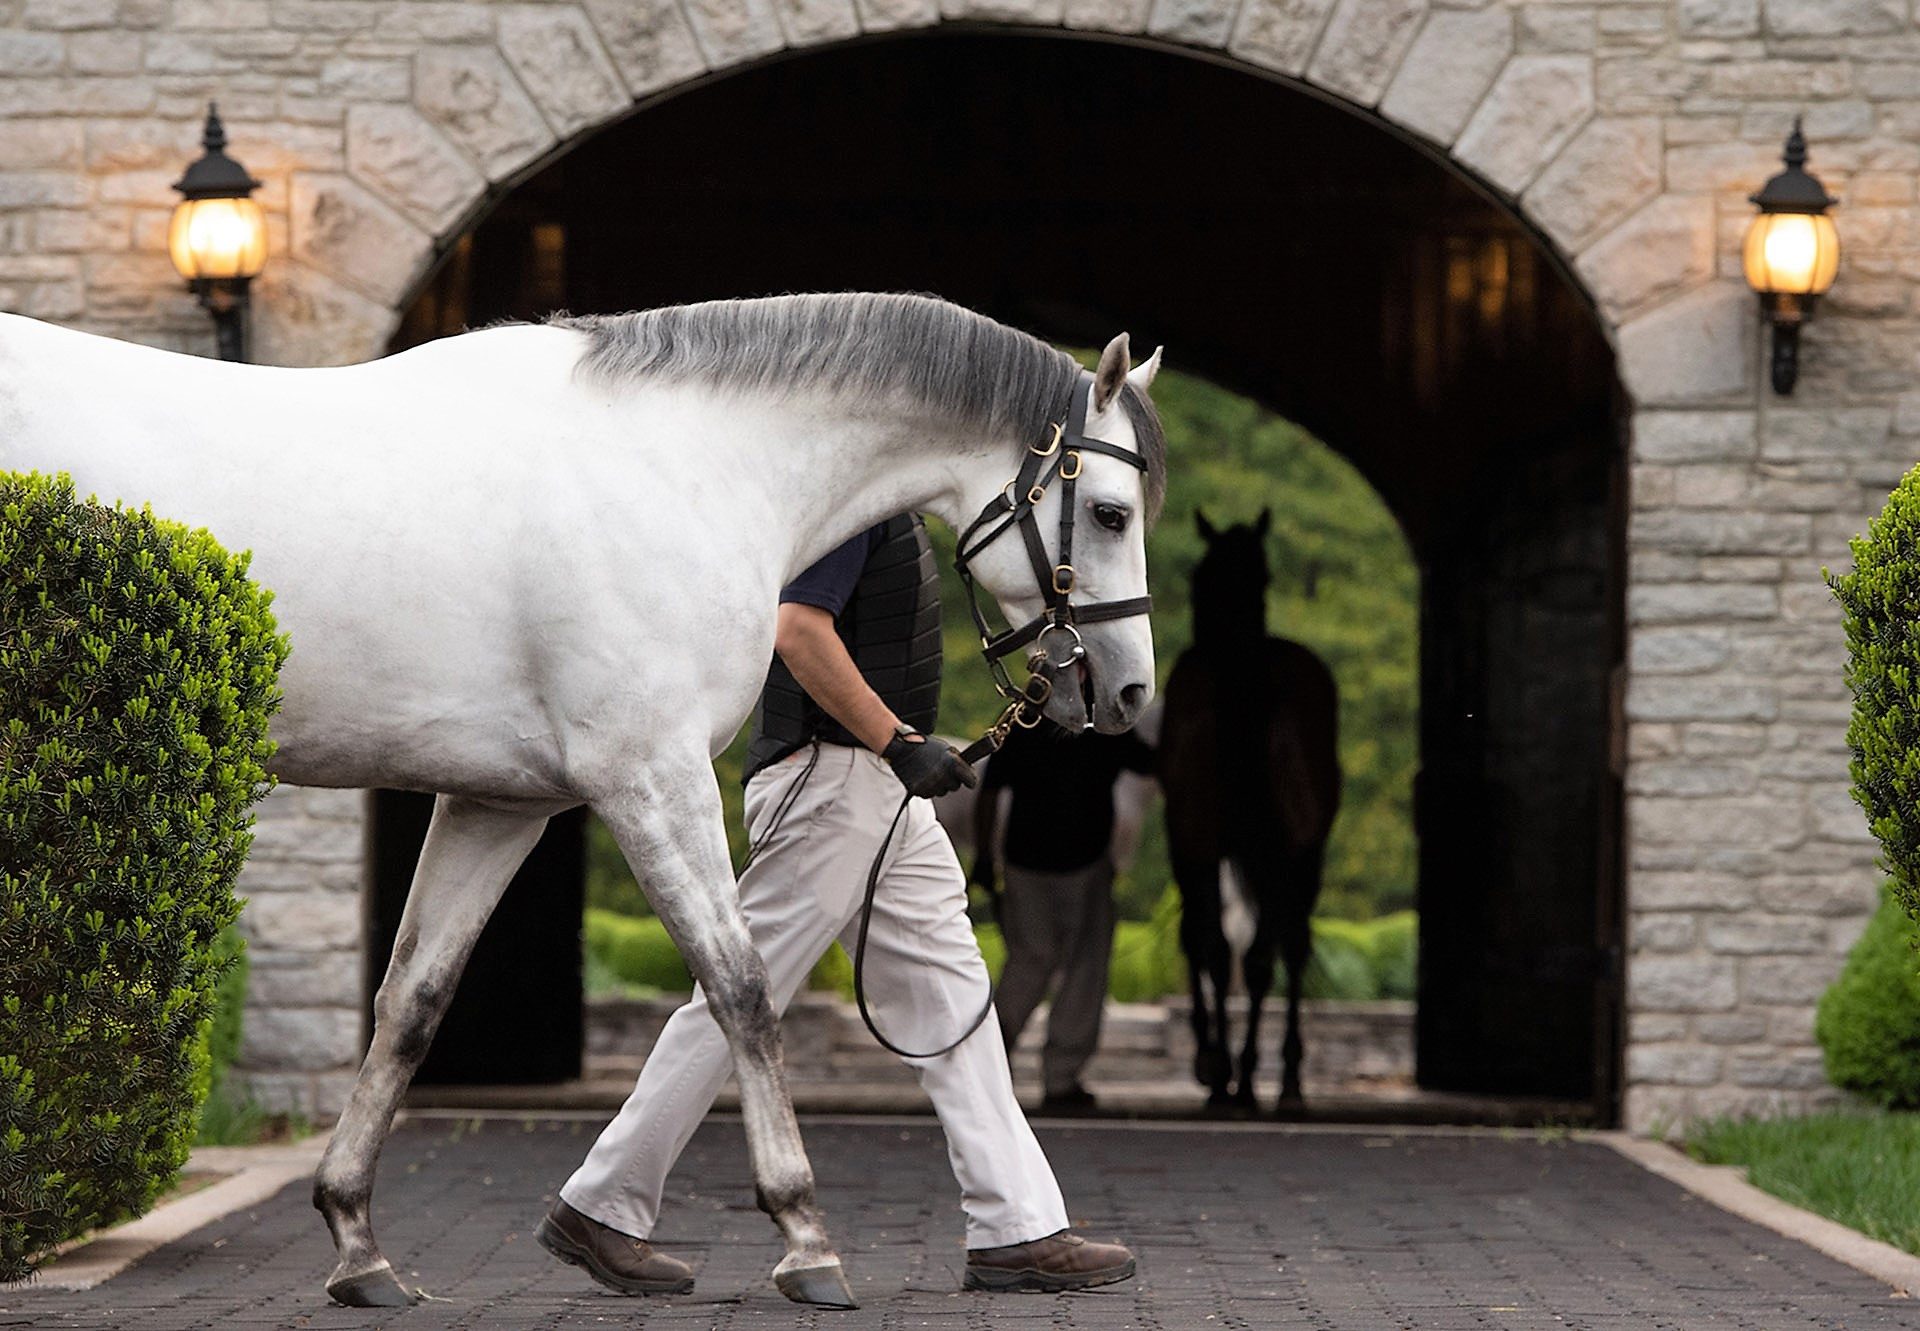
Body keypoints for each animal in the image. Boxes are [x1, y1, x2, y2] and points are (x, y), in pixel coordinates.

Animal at [0, 293, 1167, 1306]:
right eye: (1110, 513)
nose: (1126, 691)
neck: (690, 462)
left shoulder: (499, 803)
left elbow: (412, 1002)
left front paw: (359, 1246)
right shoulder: (649, 775)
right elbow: (740, 988)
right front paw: (805, 1238)